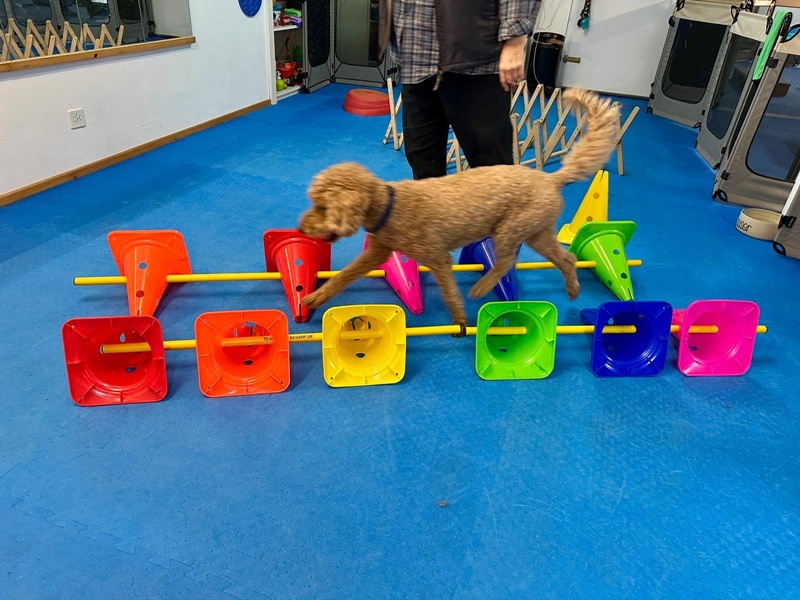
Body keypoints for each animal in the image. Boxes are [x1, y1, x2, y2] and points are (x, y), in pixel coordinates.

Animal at [297, 88, 620, 336]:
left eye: (322, 206)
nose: (301, 228)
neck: (389, 205)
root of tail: (551, 179)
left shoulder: (438, 258)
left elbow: (449, 291)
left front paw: (460, 321)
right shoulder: (376, 253)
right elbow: (345, 275)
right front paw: (316, 297)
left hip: (510, 229)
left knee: (506, 262)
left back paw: (482, 287)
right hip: (537, 233)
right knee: (566, 258)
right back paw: (573, 288)